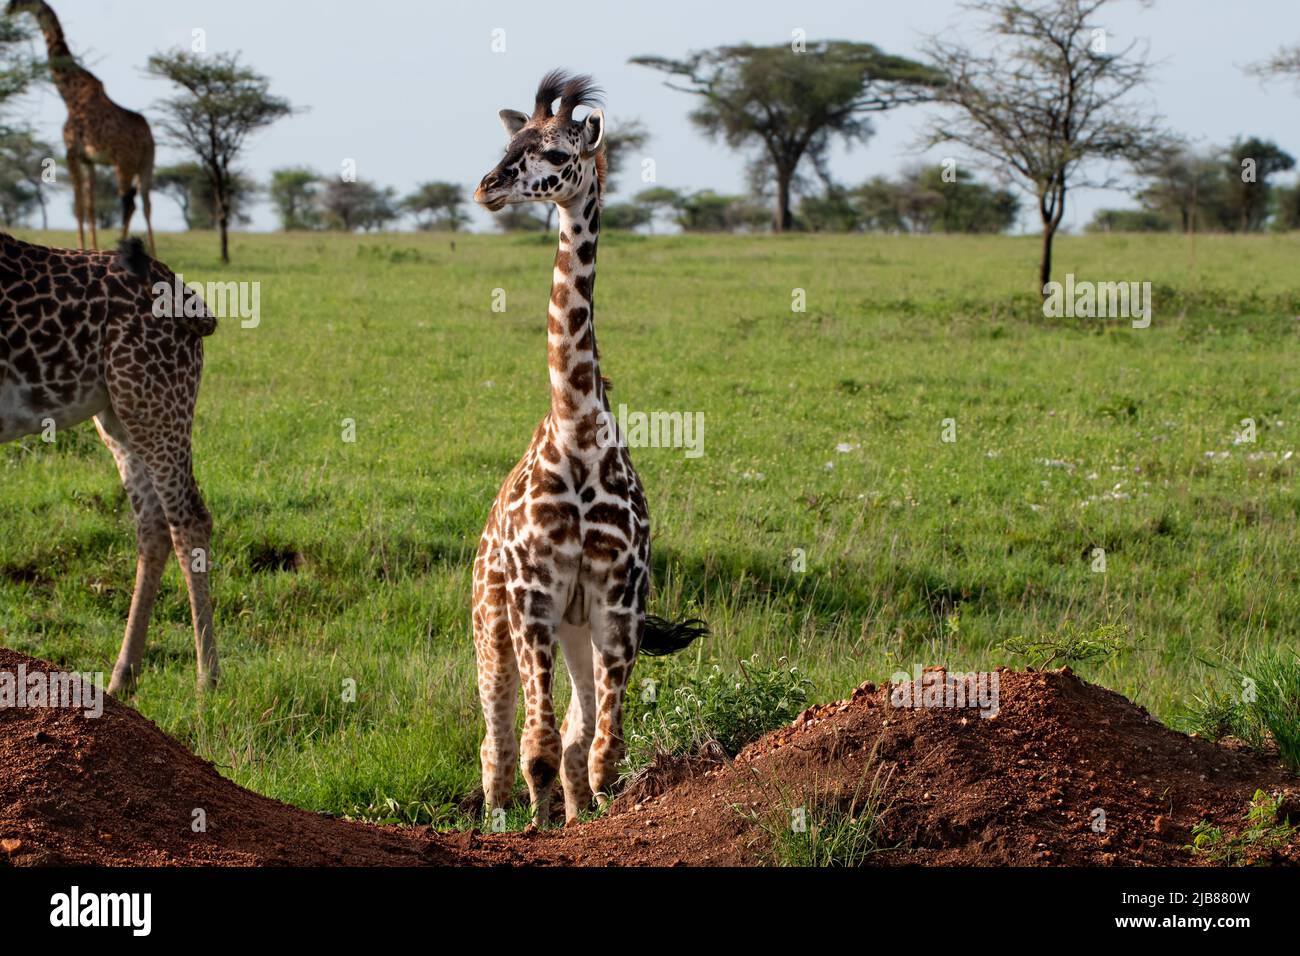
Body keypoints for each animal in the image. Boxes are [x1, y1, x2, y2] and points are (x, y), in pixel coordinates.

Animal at [0, 232, 218, 695]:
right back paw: (121, 678)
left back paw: (207, 679)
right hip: (117, 412)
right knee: (152, 523)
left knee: (189, 518)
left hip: (151, 396)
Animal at [7, 0, 157, 255]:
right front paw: (91, 248)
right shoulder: (89, 160)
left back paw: (122, 246)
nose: (7, 10)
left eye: (21, 1)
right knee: (146, 203)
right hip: (147, 163)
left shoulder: (71, 152)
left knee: (128, 202)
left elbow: (78, 206)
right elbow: (90, 207)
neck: (70, 94)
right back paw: (152, 252)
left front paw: (80, 246)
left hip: (123, 163)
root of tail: (147, 139)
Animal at [471, 71, 705, 827]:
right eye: (509, 141)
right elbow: (537, 751)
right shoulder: (535, 593)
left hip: (577, 630)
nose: (486, 186)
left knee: (573, 735)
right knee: (498, 740)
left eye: (555, 151)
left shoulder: (616, 599)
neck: (574, 427)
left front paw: (591, 824)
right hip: (492, 618)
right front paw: (540, 831)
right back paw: (500, 823)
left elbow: (600, 753)